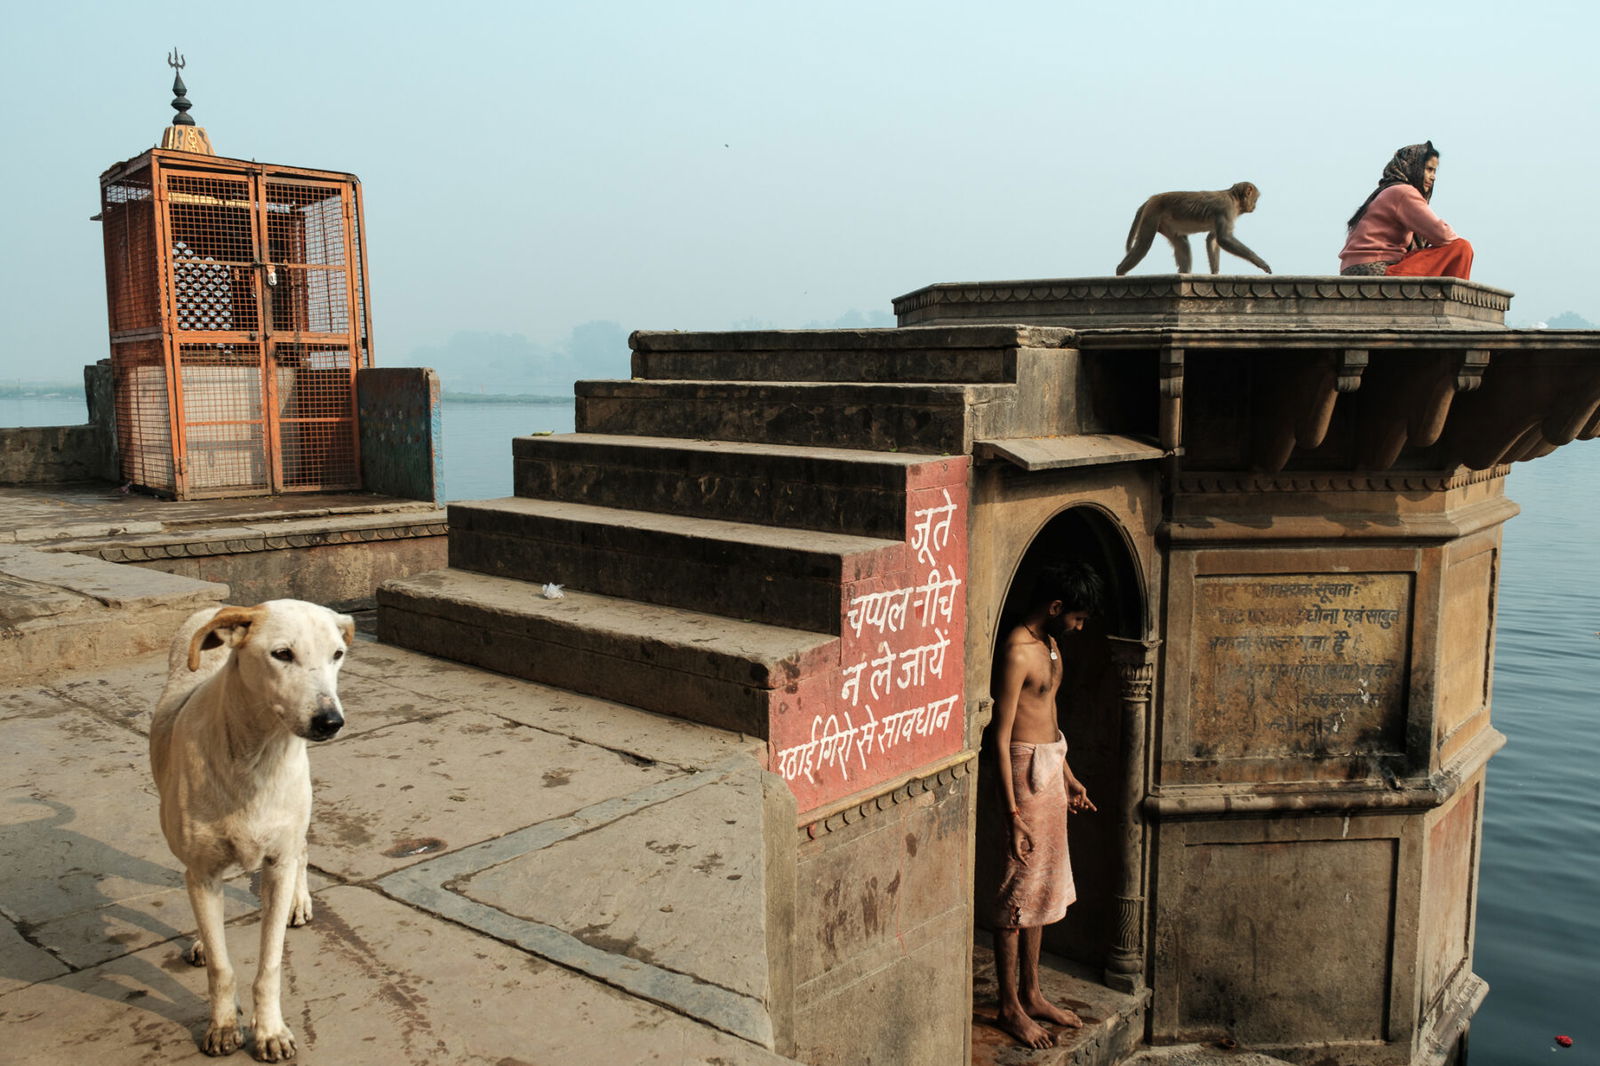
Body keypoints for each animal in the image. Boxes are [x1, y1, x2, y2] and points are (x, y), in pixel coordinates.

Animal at [150, 598, 353, 1056]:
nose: (330, 721)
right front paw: (224, 1026)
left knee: (303, 849)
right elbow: (222, 966)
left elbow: (271, 963)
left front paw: (270, 1031)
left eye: (337, 654)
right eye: (282, 654)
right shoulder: (202, 872)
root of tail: (219, 606)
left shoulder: (277, 863)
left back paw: (299, 901)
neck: (256, 758)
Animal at [1120, 180, 1267, 275]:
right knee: (1143, 245)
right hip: (1153, 213)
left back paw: (1184, 273)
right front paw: (1259, 262)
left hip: (1164, 222)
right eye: (1256, 198)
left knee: (1182, 243)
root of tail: (1152, 198)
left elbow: (1212, 238)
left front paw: (1215, 273)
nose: (1254, 206)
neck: (1234, 199)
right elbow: (1224, 238)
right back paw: (1120, 271)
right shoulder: (1226, 209)